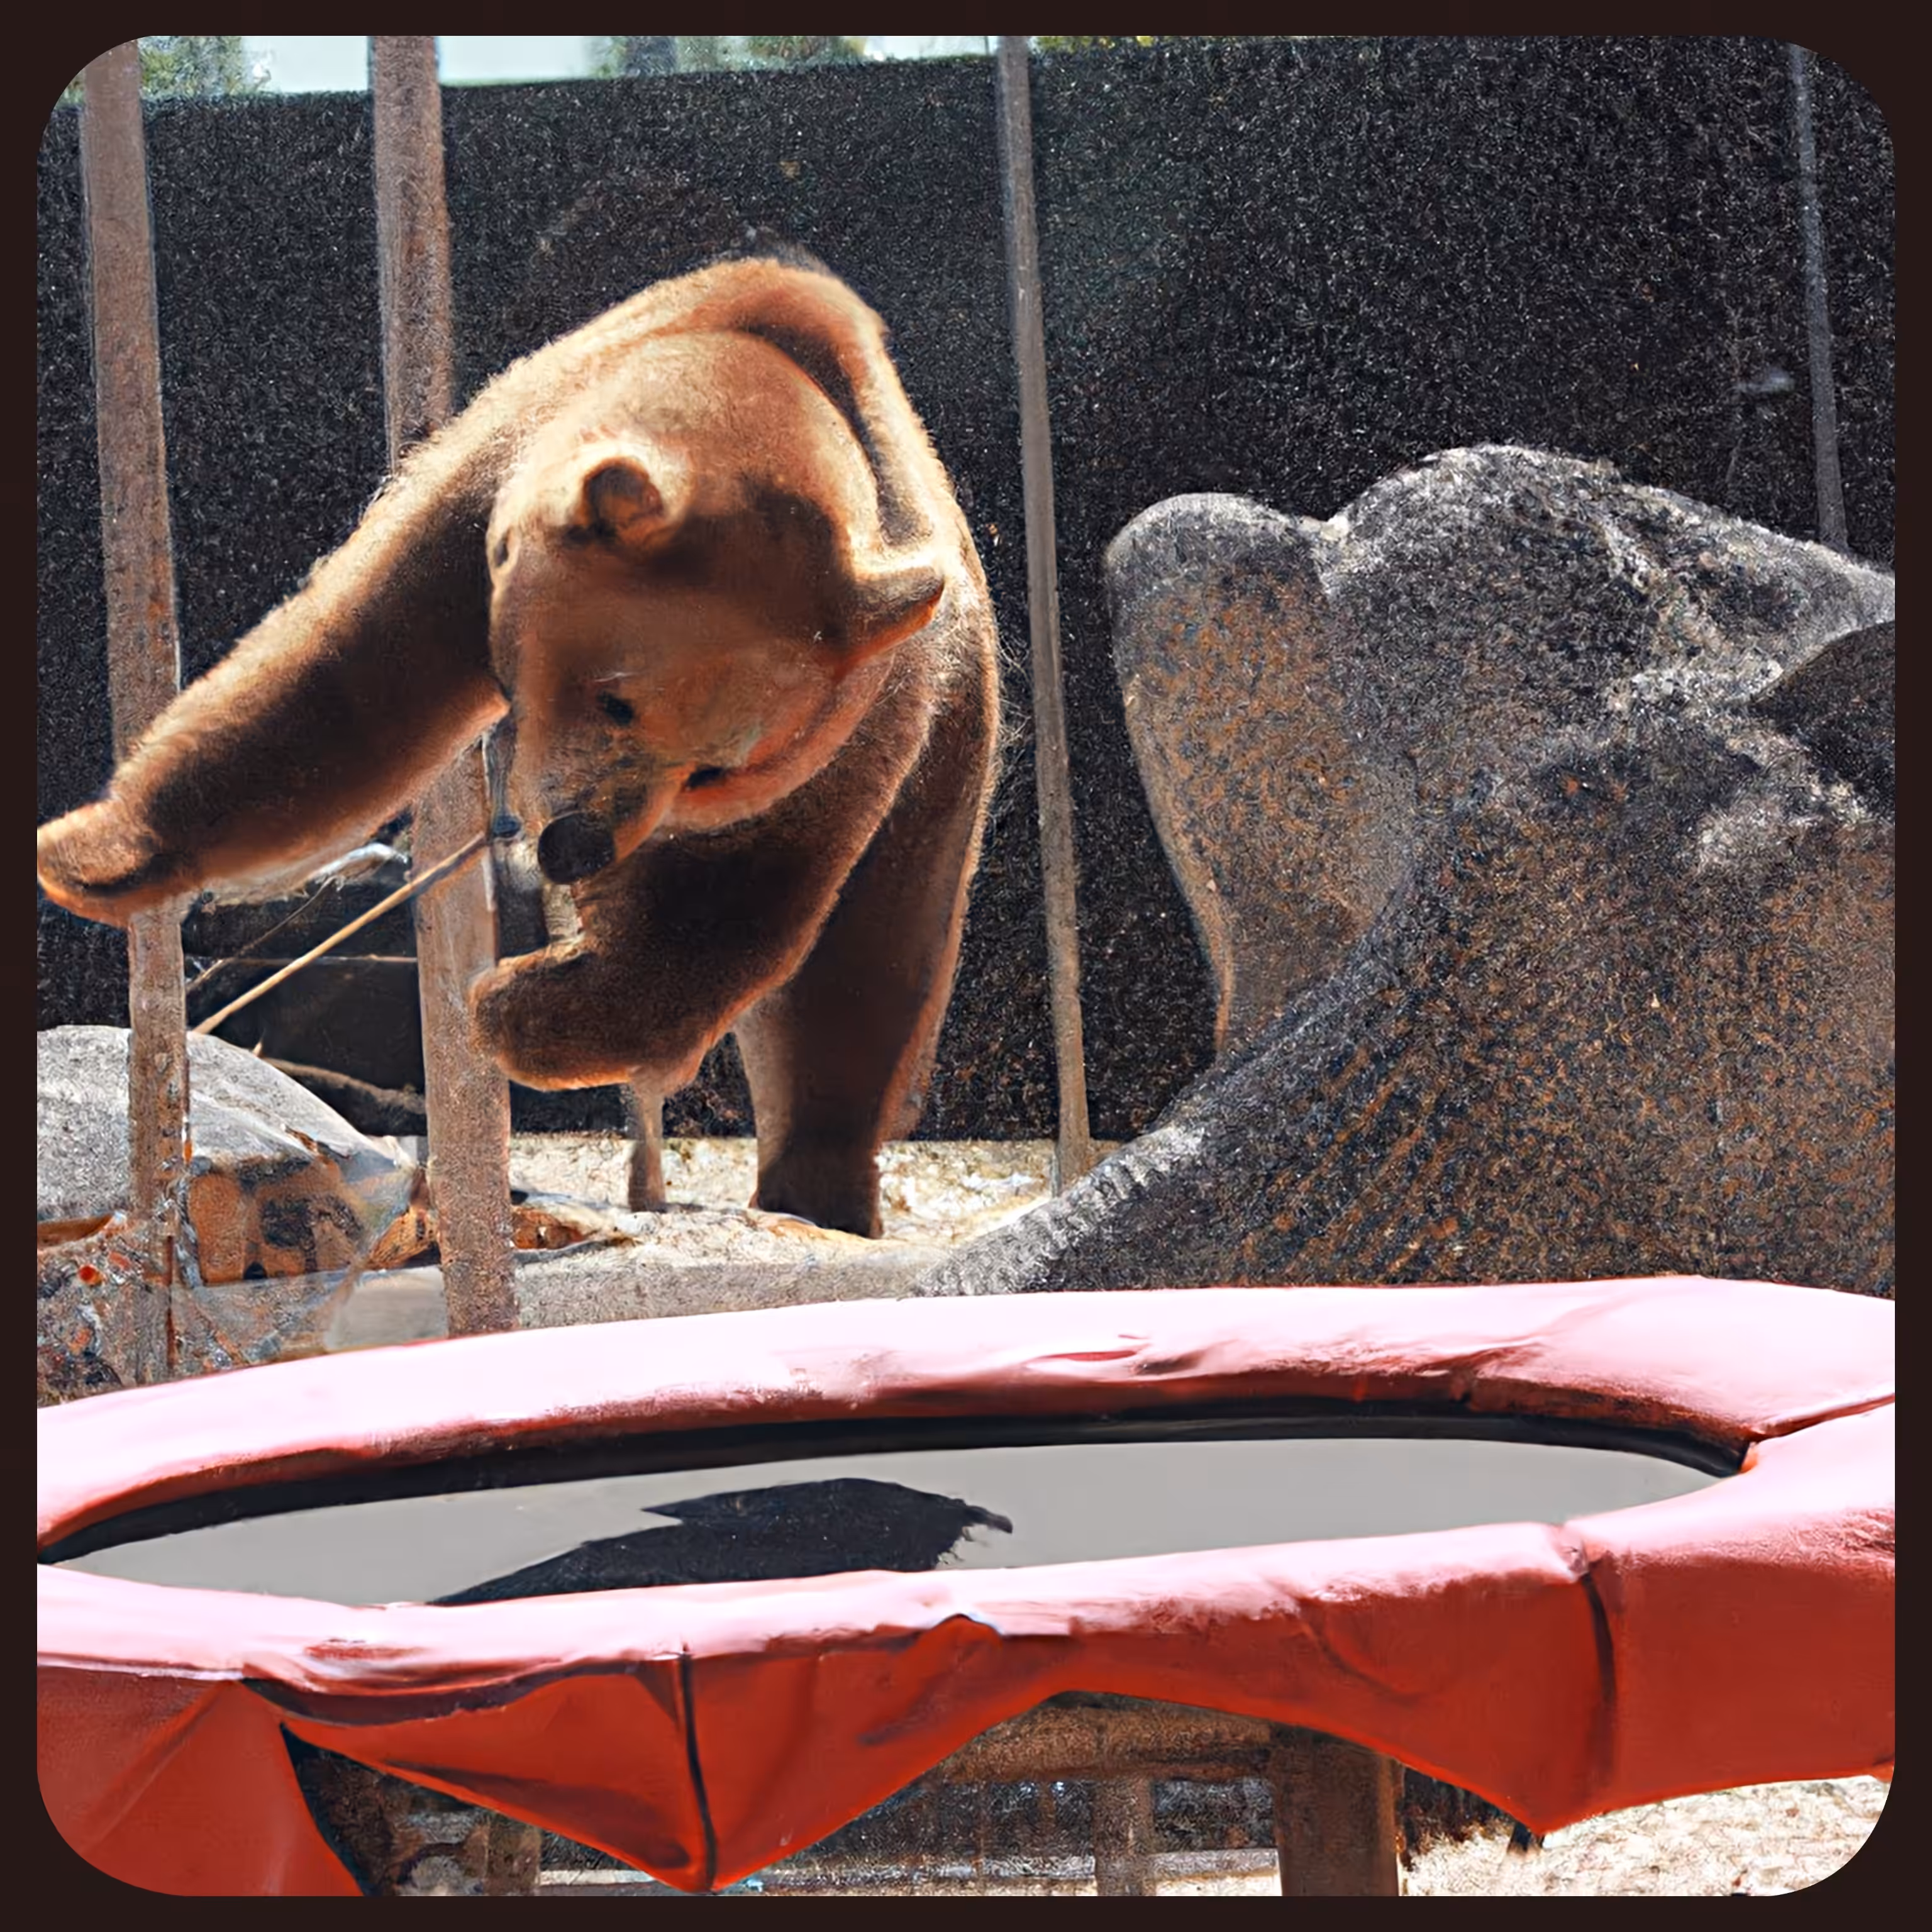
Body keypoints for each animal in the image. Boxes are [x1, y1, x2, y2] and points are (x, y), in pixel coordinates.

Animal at [37, 254, 1002, 1239]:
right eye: (616, 698)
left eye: (714, 769)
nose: (578, 846)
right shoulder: (483, 497)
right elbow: (347, 681)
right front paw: (90, 853)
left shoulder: (857, 724)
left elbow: (728, 906)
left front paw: (511, 1008)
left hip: (946, 779)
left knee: (866, 980)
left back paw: (818, 1187)